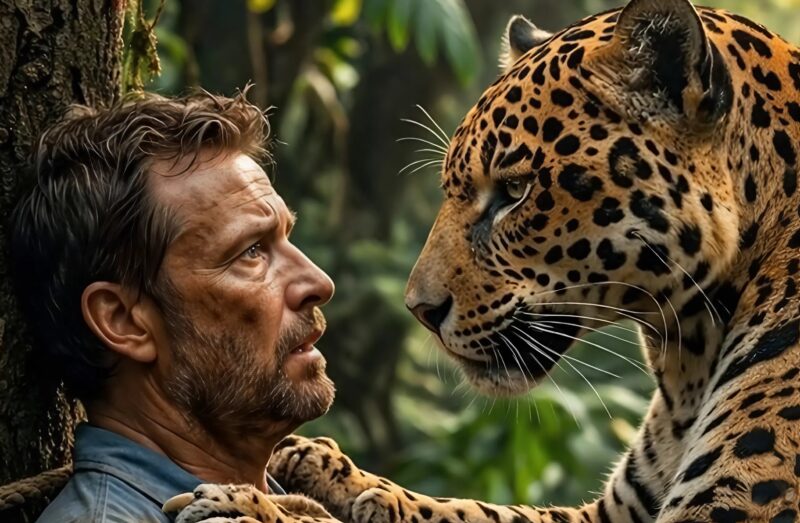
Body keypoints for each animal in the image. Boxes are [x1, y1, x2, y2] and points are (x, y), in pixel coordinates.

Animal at [169, 0, 800, 521]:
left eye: (514, 192)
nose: (420, 311)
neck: (686, 355)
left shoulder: (726, 508)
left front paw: (249, 502)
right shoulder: (612, 513)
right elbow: (482, 510)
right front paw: (327, 468)